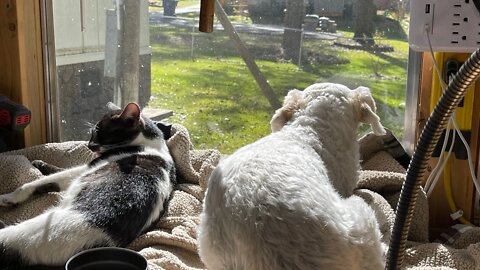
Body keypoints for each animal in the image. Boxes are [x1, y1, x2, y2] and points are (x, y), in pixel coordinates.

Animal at [0, 102, 175, 268]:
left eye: (98, 132)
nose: (89, 145)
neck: (154, 144)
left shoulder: (85, 168)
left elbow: (37, 181)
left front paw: (9, 196)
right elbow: (49, 179)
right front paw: (38, 164)